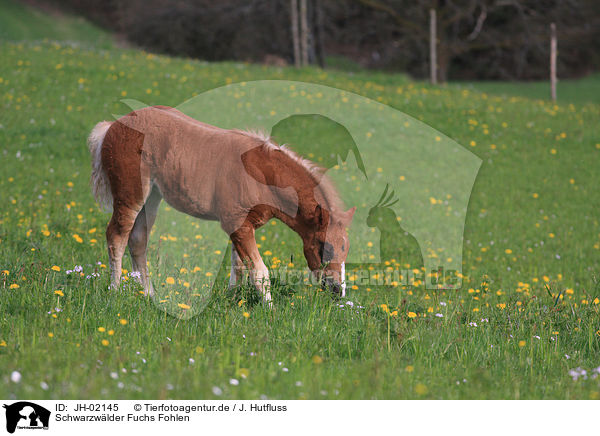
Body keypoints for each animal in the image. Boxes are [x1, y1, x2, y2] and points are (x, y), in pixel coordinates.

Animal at [86, 105, 354, 304]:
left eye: (346, 248)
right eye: (324, 246)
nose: (338, 291)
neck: (262, 174)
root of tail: (112, 126)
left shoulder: (243, 226)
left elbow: (239, 268)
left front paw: (233, 301)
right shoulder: (237, 224)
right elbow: (260, 271)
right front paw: (269, 311)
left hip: (151, 198)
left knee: (138, 240)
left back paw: (149, 295)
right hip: (130, 196)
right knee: (117, 236)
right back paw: (115, 290)